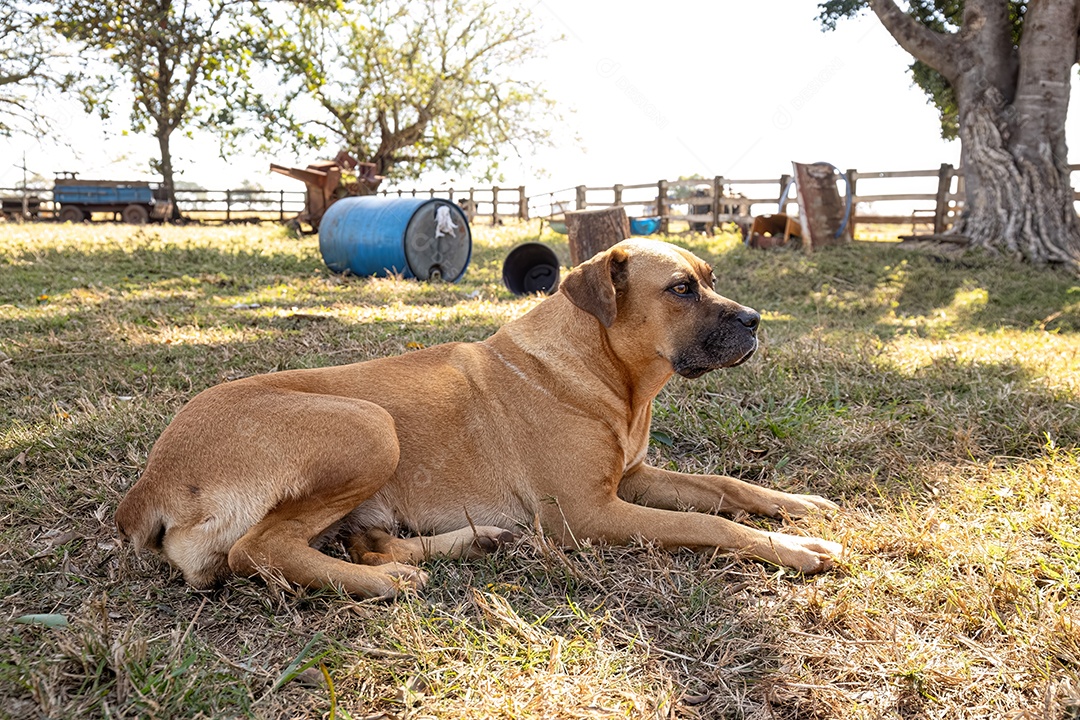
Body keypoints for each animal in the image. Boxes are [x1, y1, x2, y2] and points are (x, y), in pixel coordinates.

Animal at [118, 239, 842, 600]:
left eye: (710, 277)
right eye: (681, 289)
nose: (755, 321)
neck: (605, 367)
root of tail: (147, 485)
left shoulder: (632, 478)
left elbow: (724, 487)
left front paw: (799, 505)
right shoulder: (588, 514)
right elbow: (709, 523)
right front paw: (795, 549)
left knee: (353, 539)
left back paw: (466, 543)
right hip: (368, 425)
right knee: (258, 550)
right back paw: (385, 584)